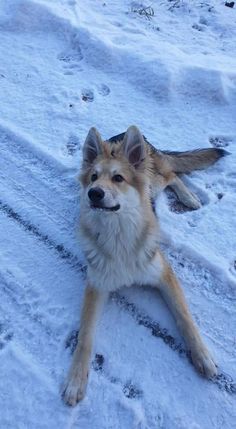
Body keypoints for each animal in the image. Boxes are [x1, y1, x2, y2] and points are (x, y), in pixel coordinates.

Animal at [62, 124, 227, 404]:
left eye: (118, 178)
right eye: (93, 177)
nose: (94, 193)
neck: (118, 233)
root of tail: (120, 132)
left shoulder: (163, 274)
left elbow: (184, 316)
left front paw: (203, 356)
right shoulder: (97, 285)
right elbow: (85, 335)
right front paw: (75, 380)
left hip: (153, 179)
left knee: (172, 175)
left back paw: (189, 197)